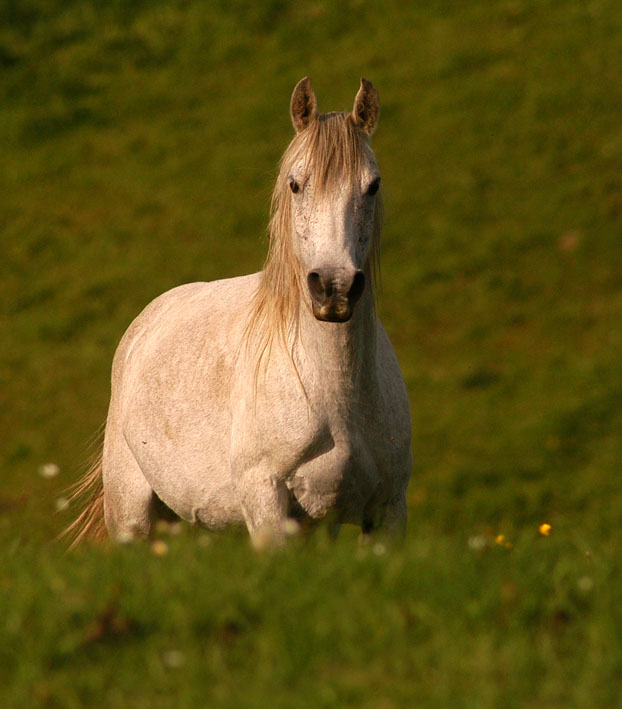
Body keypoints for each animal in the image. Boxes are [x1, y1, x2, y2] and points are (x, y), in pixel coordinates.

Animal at [69, 77, 414, 544]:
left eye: (372, 185)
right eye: (295, 184)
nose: (335, 287)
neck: (337, 397)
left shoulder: (388, 512)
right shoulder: (266, 504)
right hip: (131, 516)